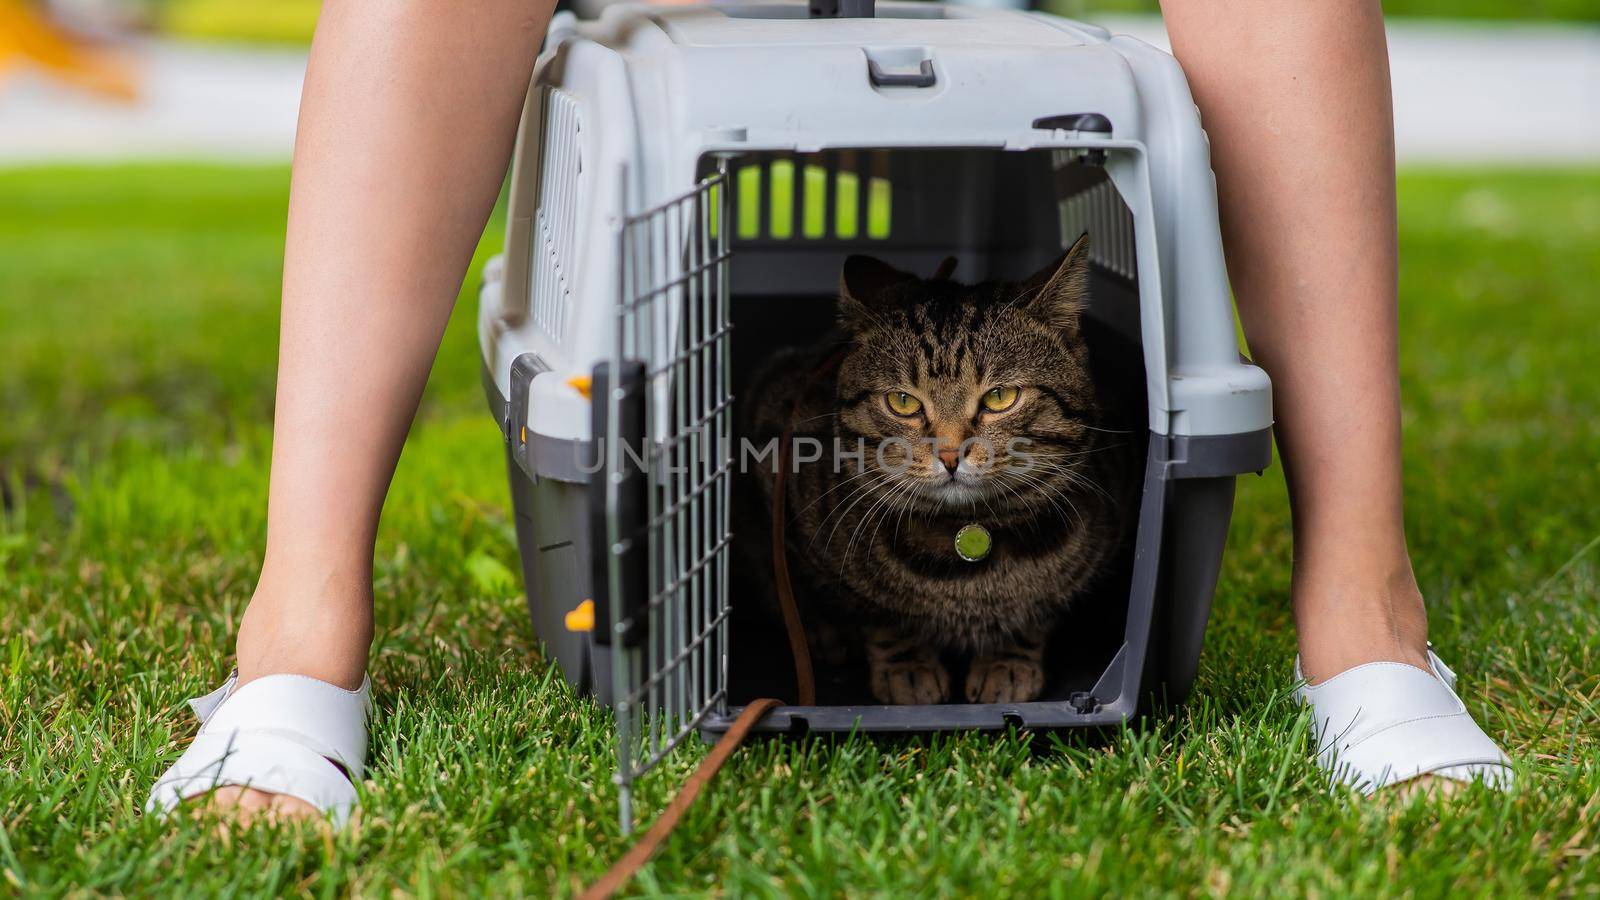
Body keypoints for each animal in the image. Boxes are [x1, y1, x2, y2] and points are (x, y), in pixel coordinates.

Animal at [742, 235, 1145, 704]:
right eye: (902, 401)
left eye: (1000, 397)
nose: (951, 455)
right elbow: (875, 612)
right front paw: (907, 667)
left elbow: (1037, 613)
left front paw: (1007, 661)